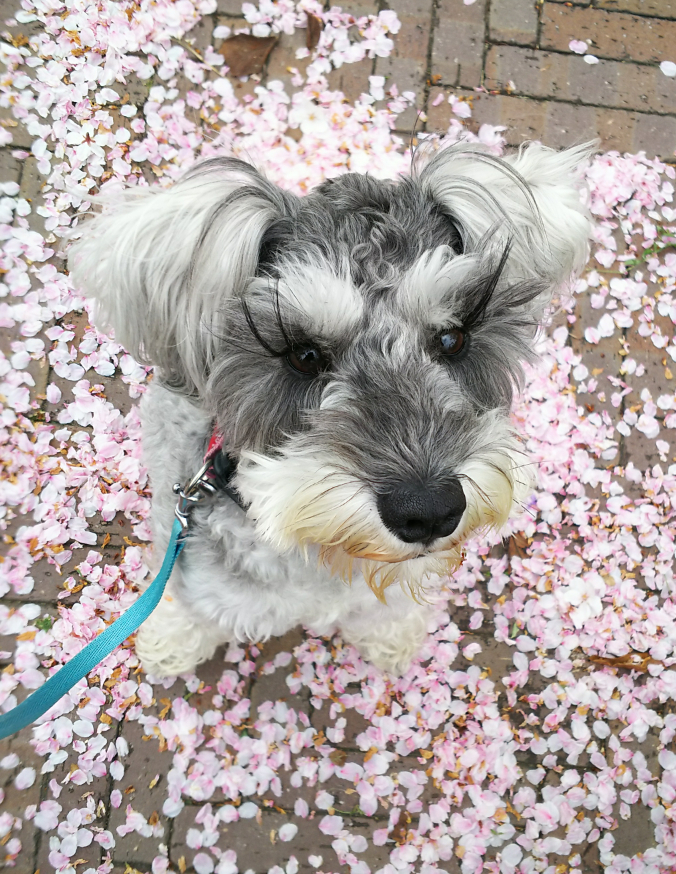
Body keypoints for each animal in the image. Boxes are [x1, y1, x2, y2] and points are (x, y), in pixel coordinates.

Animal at [68, 143, 592, 676]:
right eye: (302, 354)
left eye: (453, 337)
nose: (428, 511)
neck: (324, 556)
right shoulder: (190, 559)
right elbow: (186, 600)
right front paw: (172, 640)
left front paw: (392, 636)